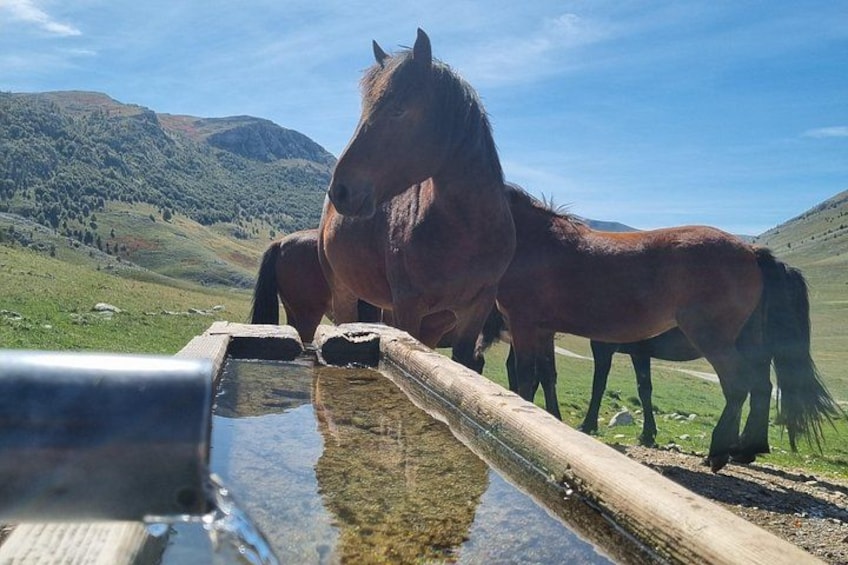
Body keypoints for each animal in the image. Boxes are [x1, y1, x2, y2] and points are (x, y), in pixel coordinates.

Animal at [318, 29, 516, 372]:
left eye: (398, 109)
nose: (340, 190)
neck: (467, 231)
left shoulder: (475, 308)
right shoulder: (409, 305)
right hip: (344, 292)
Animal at [496, 184, 839, 472]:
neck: (534, 241)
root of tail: (752, 253)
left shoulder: (528, 326)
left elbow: (529, 377)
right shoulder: (543, 330)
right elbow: (547, 376)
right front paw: (553, 421)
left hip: (713, 338)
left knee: (737, 385)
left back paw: (718, 452)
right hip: (749, 341)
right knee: (760, 387)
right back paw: (745, 449)